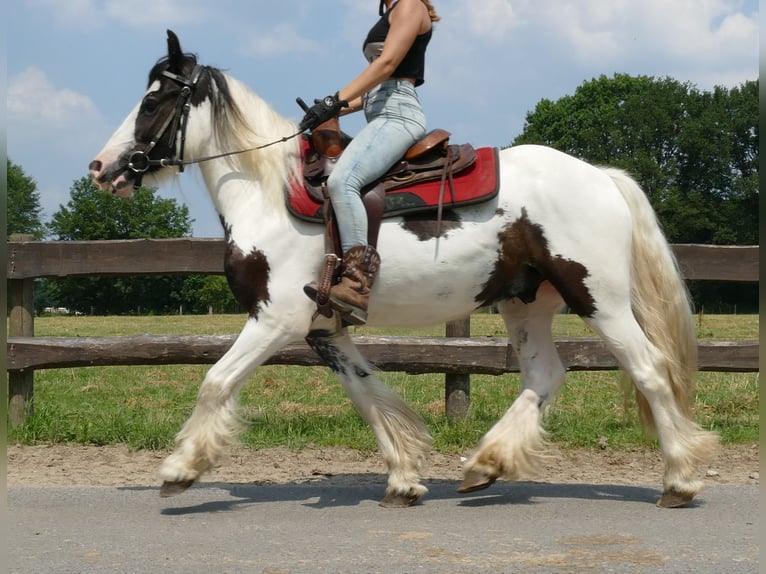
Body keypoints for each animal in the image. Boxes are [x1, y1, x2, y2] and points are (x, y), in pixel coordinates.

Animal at [90, 29, 720, 510]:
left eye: (152, 102)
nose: (101, 167)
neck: (268, 193)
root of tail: (601, 177)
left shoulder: (275, 320)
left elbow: (216, 381)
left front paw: (181, 469)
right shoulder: (324, 329)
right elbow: (368, 395)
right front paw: (404, 478)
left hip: (600, 299)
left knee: (650, 370)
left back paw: (679, 481)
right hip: (526, 303)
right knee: (544, 376)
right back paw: (485, 464)